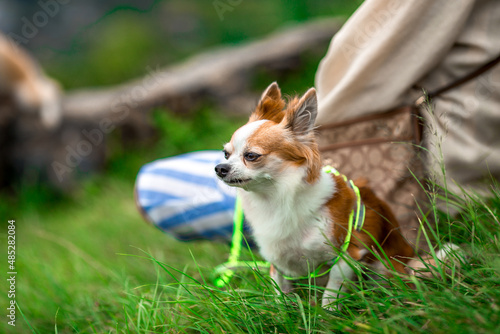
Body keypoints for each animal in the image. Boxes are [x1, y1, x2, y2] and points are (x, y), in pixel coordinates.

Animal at [215, 83, 458, 308]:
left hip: (383, 268)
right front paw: (282, 312)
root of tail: (409, 261)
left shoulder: (347, 255)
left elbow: (333, 290)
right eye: (226, 154)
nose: (219, 168)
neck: (275, 198)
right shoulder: (278, 261)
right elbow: (281, 290)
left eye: (251, 156)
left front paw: (328, 314)